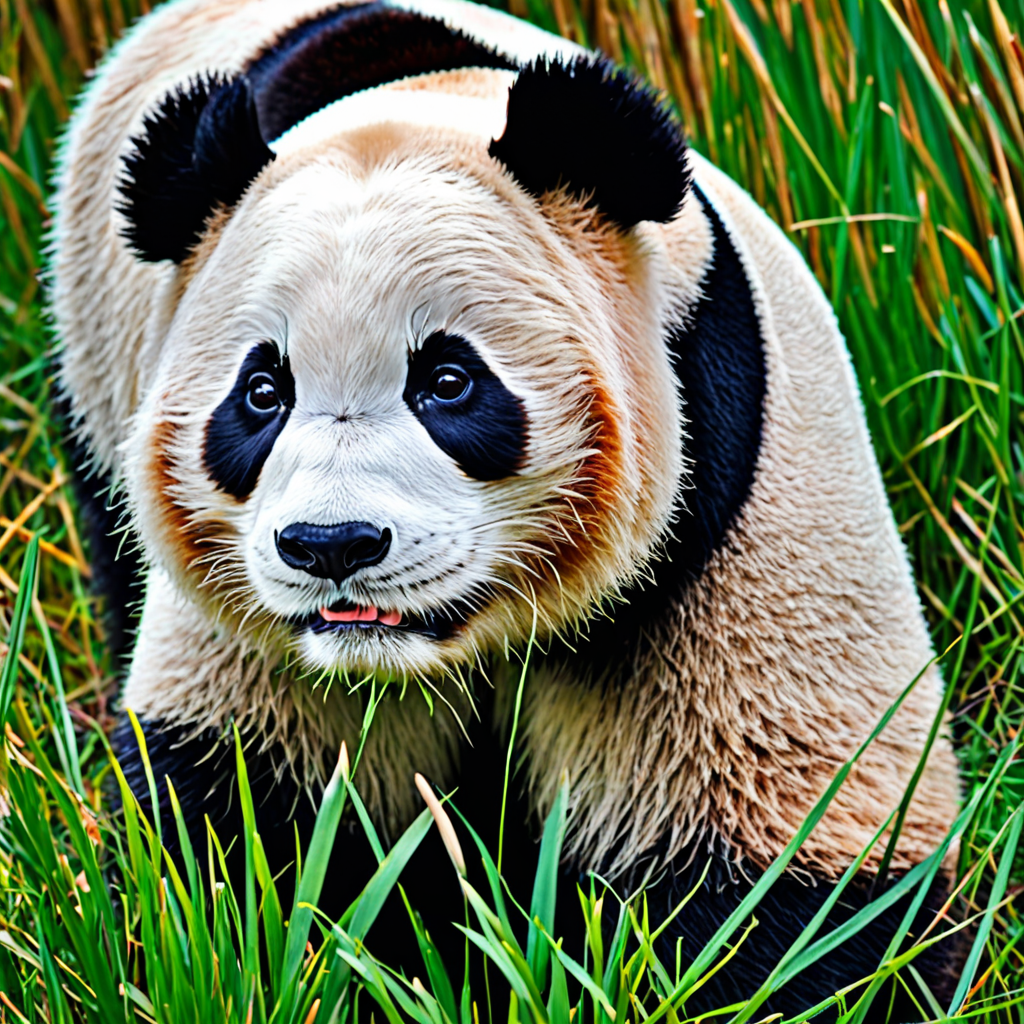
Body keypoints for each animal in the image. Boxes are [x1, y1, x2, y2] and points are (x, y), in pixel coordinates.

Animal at [49, 0, 962, 1015]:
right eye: (262, 393)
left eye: (449, 382)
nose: (333, 546)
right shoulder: (269, 638)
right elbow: (250, 815)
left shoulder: (730, 500)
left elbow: (787, 857)